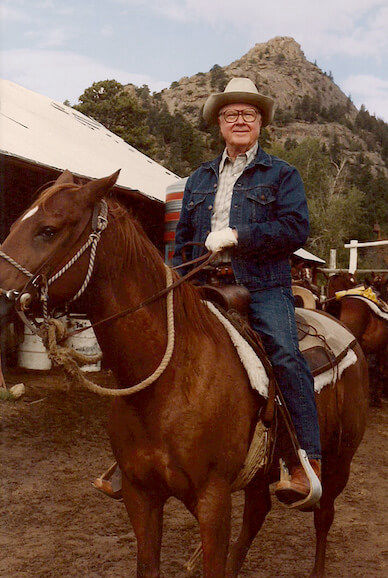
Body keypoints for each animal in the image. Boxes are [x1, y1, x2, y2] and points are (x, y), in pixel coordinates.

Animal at [0, 172, 370, 576]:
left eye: (48, 230)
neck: (170, 382)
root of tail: (344, 329)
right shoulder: (140, 495)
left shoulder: (213, 501)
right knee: (257, 512)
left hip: (338, 463)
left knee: (323, 516)